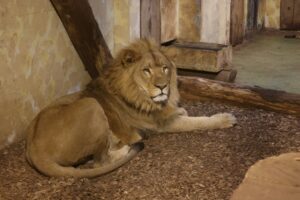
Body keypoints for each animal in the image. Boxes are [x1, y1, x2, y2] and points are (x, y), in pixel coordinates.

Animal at [25, 39, 237, 178]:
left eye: (165, 68)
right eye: (146, 70)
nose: (162, 86)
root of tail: (33, 150)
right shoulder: (163, 124)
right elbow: (198, 121)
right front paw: (226, 118)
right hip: (91, 104)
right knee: (100, 160)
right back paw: (129, 145)